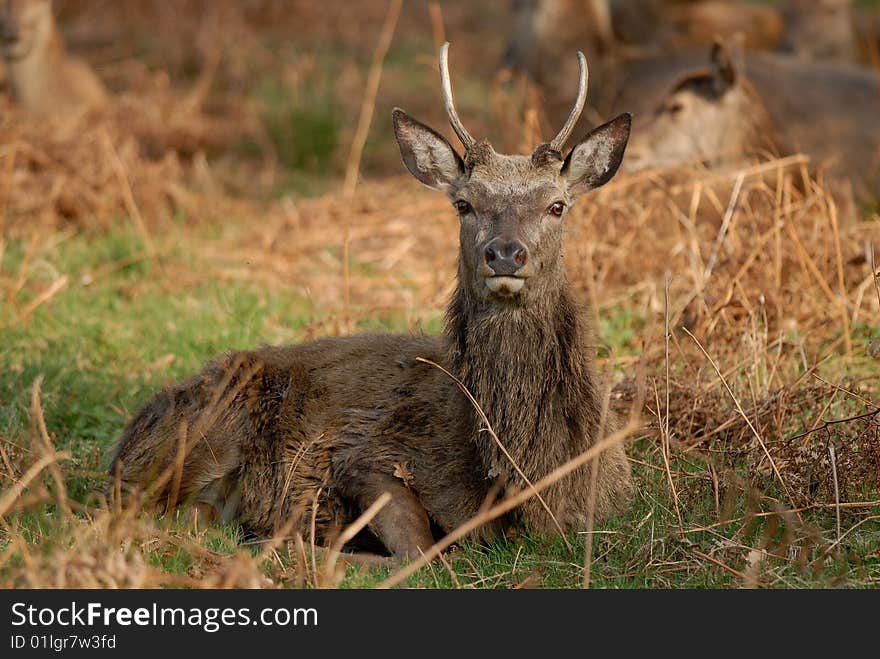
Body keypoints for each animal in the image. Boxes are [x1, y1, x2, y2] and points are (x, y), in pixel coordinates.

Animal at [108, 41, 632, 560]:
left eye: (557, 206)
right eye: (463, 204)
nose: (505, 253)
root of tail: (124, 444)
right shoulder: (364, 456)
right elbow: (419, 551)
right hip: (204, 425)